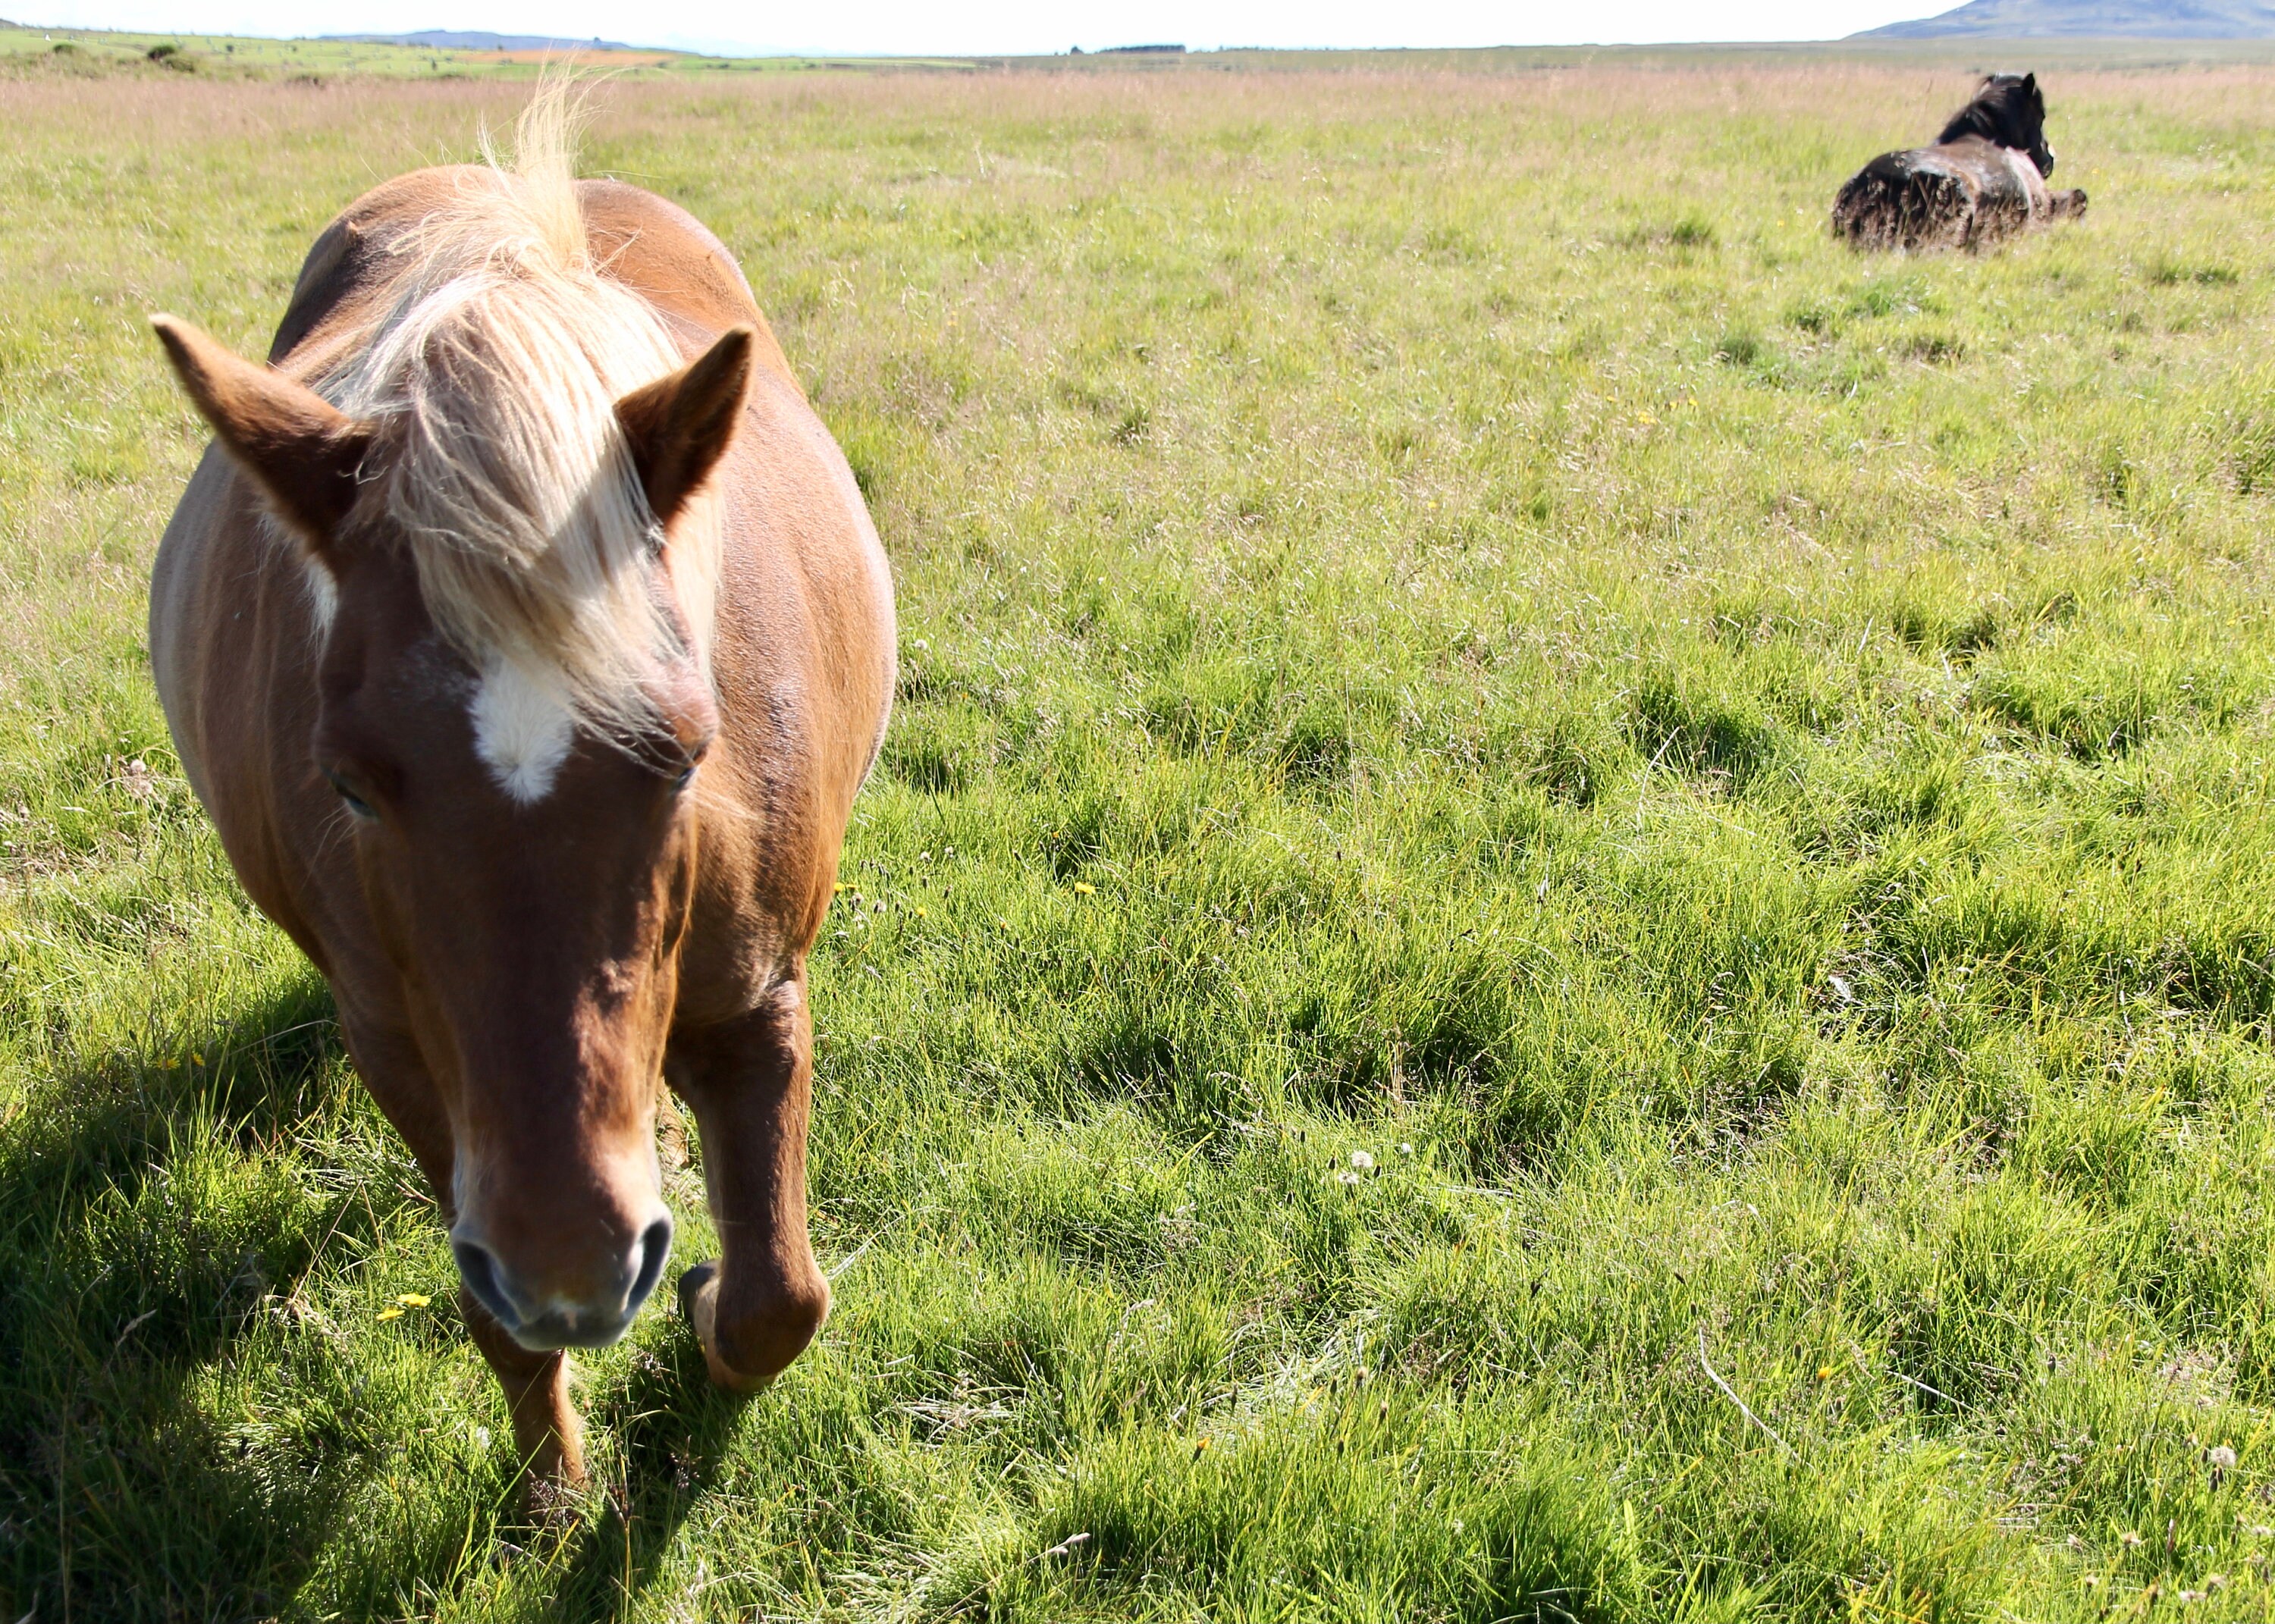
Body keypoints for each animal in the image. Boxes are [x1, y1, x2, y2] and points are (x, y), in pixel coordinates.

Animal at [146, 90, 895, 1496]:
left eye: (686, 755)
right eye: (348, 784)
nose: (573, 1269)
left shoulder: (761, 995)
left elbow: (780, 1296)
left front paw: (702, 1313)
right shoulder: (403, 1055)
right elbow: (498, 1321)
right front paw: (553, 1484)